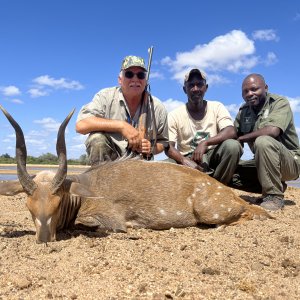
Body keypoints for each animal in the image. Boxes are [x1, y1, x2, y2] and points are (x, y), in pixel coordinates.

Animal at [0, 105, 272, 244]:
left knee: (246, 214)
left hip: (209, 211)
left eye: (57, 204)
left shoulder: (107, 219)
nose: (44, 239)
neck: (83, 189)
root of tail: (229, 193)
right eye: (28, 206)